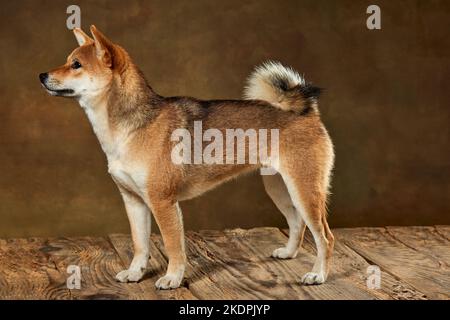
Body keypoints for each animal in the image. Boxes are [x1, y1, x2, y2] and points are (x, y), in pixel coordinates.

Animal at [39, 25, 334, 290]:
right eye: (68, 61)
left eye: (76, 64)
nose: (42, 75)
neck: (130, 129)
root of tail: (307, 111)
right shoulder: (134, 201)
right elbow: (139, 244)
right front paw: (135, 273)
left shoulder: (163, 202)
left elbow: (173, 246)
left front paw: (172, 278)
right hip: (279, 188)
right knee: (297, 223)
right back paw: (289, 253)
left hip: (304, 191)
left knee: (324, 237)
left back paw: (318, 275)